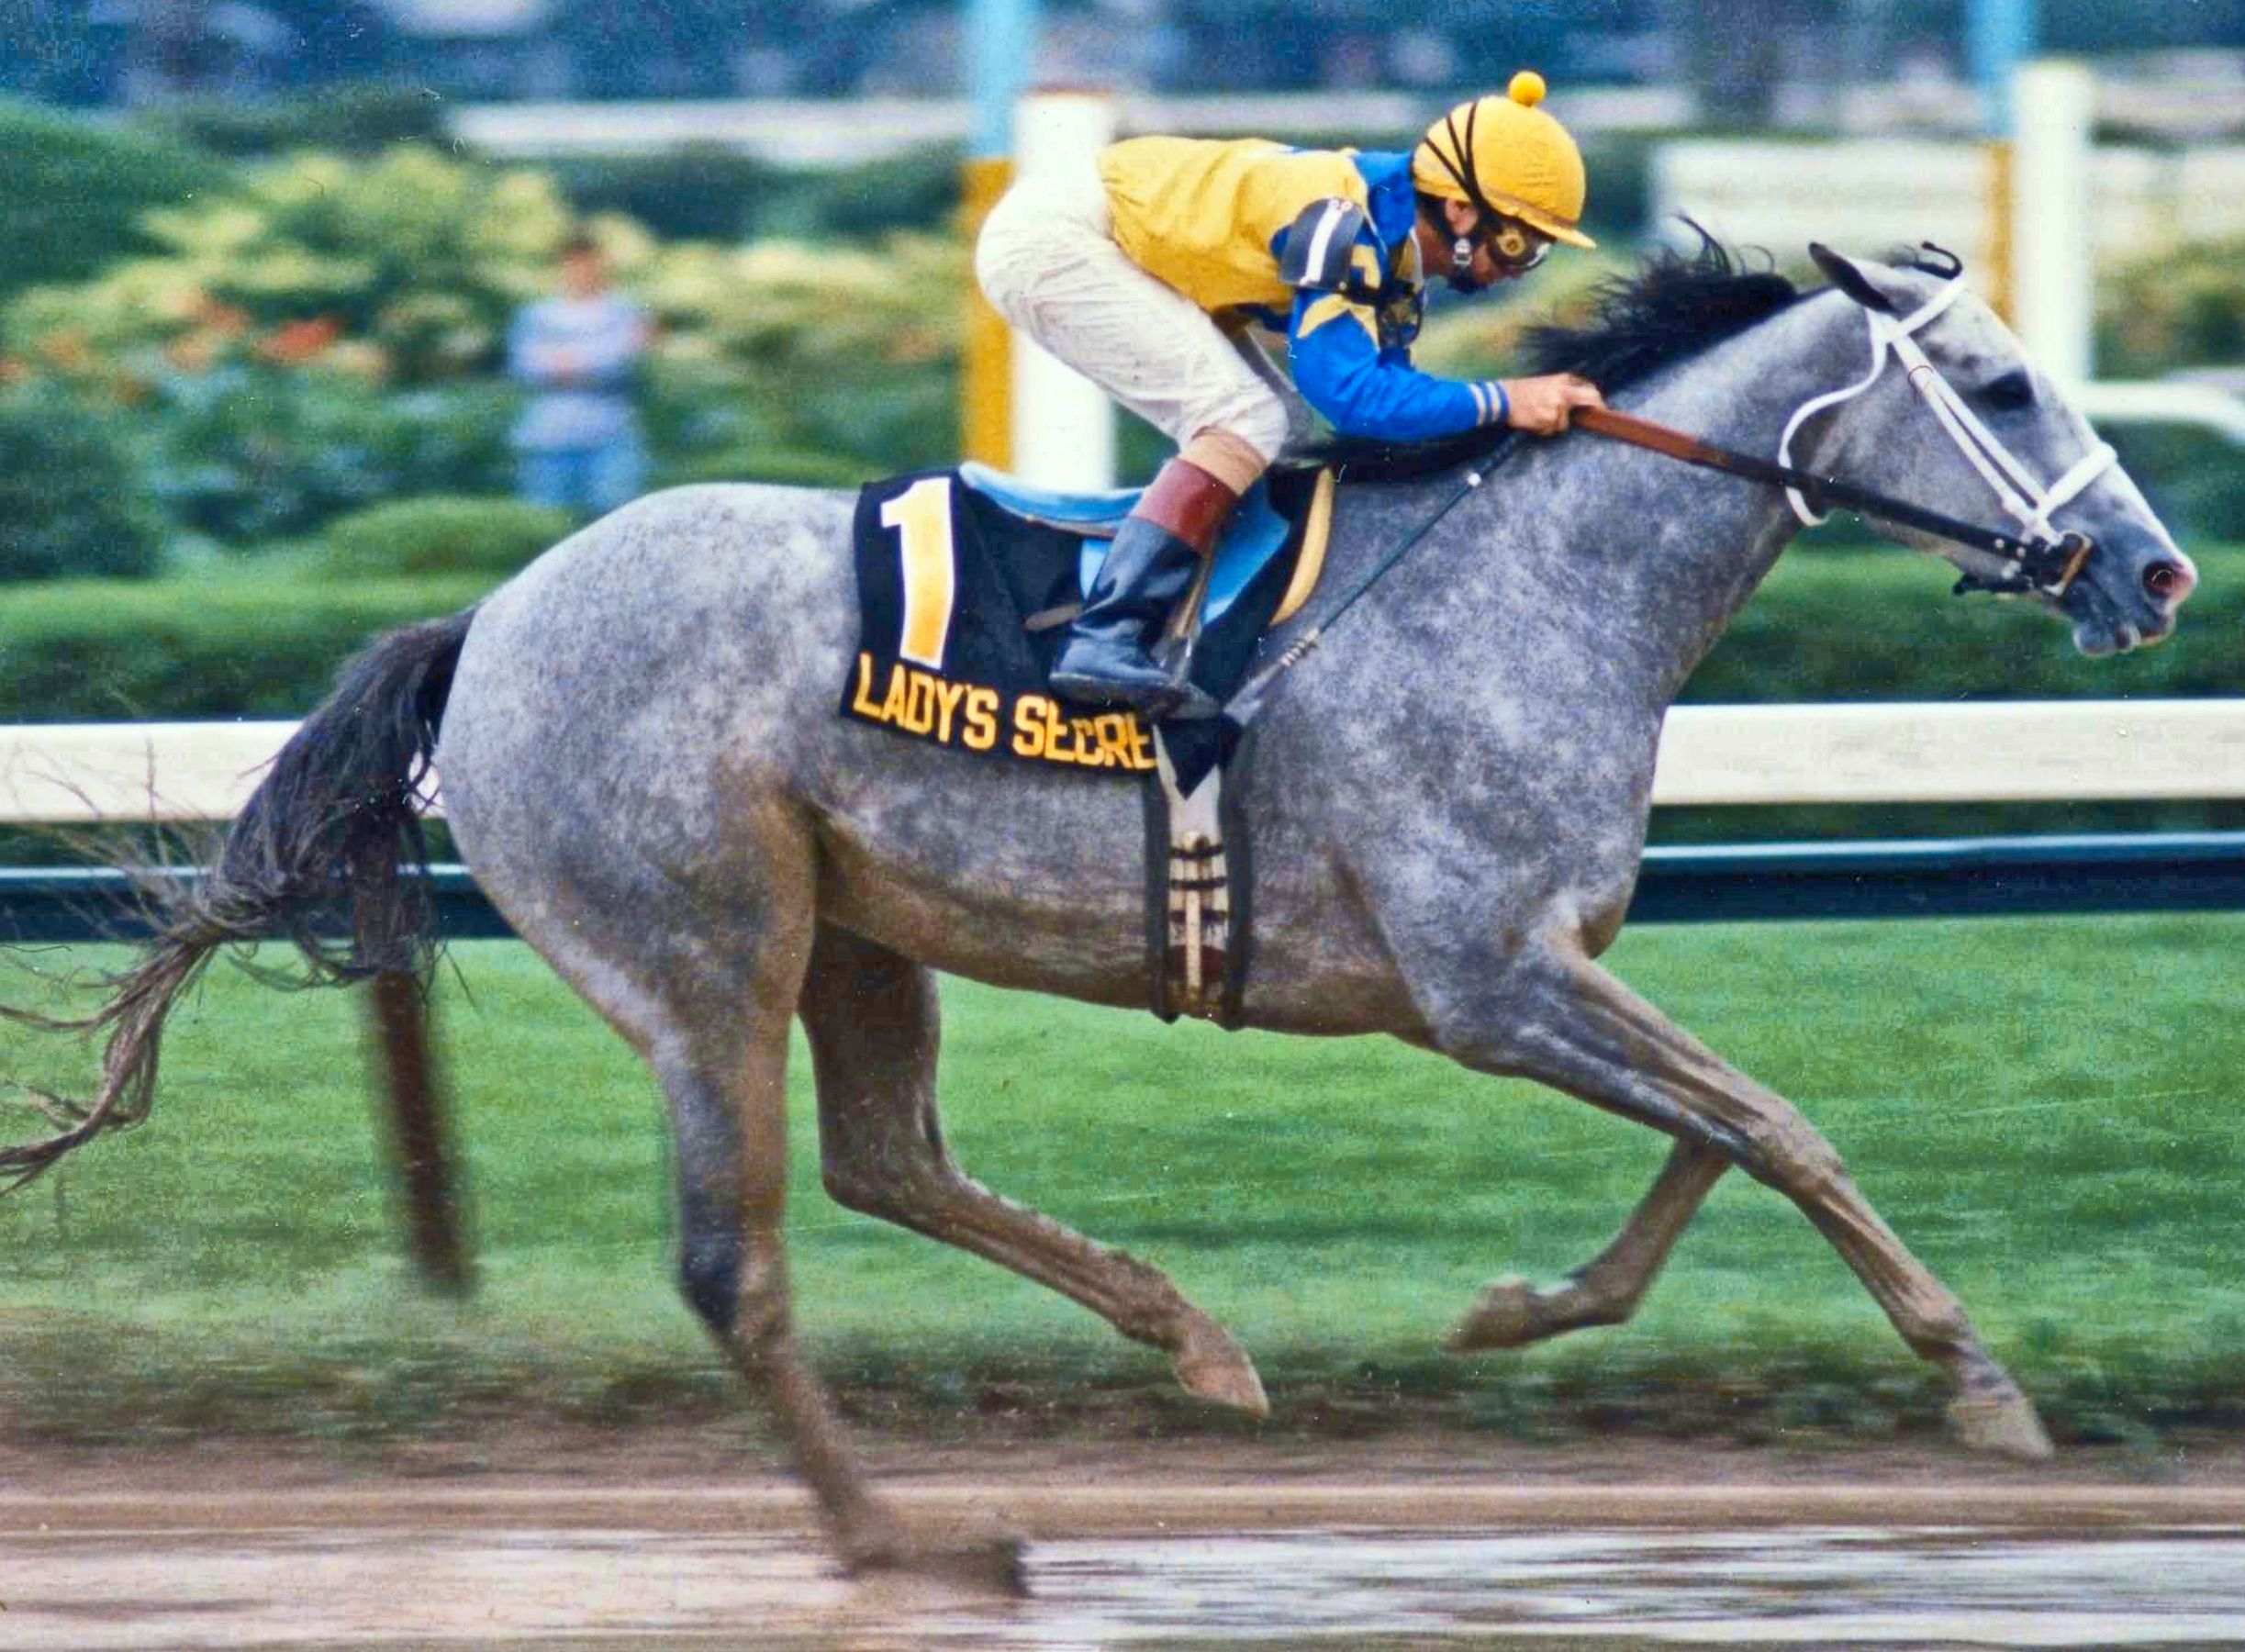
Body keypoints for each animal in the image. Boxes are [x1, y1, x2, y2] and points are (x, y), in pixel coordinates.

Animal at [8, 242, 2200, 1570]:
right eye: (2003, 383)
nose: (2157, 572)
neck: (1545, 581)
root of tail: (488, 621)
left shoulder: (1537, 966)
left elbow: (1720, 1137)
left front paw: (1527, 1304)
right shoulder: (1481, 978)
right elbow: (1775, 1125)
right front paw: (1982, 1386)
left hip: (856, 930)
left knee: (888, 1162)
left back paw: (1190, 1343)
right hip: (699, 948)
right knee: (738, 1261)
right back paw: (899, 1540)